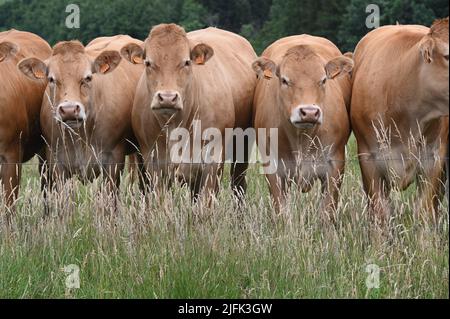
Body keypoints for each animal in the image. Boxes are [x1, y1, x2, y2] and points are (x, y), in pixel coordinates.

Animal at [119, 25, 256, 200]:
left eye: (186, 62)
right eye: (148, 63)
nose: (167, 98)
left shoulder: (211, 164)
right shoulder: (154, 163)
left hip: (243, 146)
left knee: (238, 184)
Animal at [251, 35, 354, 220]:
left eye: (323, 80)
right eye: (284, 80)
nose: (309, 112)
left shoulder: (334, 166)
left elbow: (327, 212)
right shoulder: (274, 168)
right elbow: (282, 212)